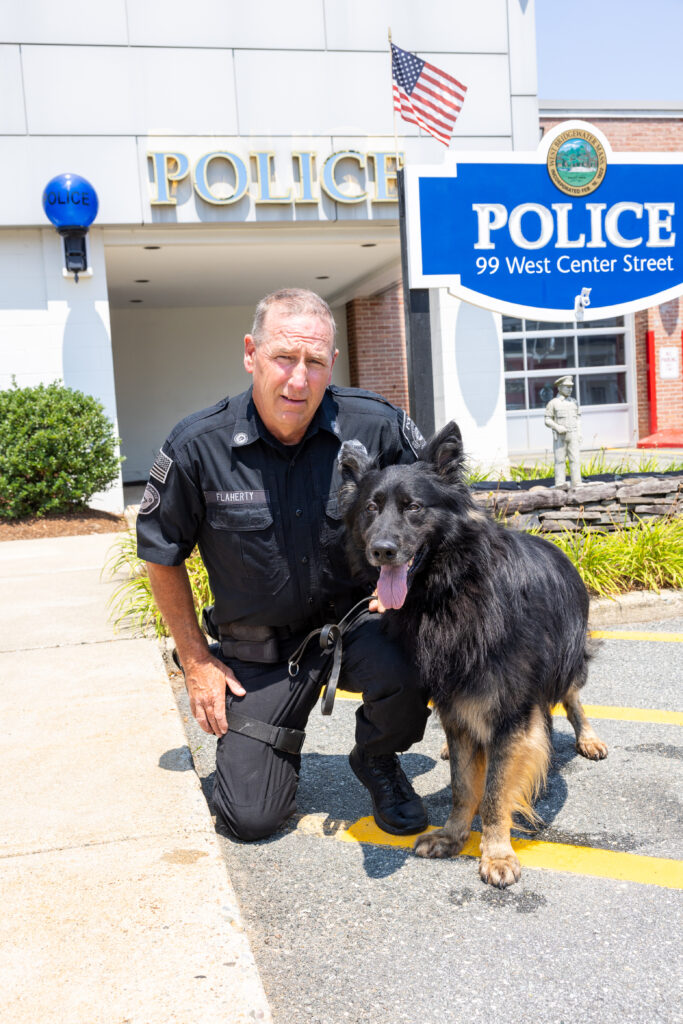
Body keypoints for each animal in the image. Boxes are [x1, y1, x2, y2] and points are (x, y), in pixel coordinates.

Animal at [342, 423, 610, 888]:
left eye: (413, 507)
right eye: (371, 509)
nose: (382, 550)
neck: (452, 590)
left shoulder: (511, 713)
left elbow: (496, 791)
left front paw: (497, 852)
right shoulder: (455, 703)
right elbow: (464, 786)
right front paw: (452, 836)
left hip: (568, 663)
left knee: (573, 698)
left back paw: (588, 737)